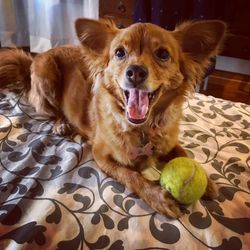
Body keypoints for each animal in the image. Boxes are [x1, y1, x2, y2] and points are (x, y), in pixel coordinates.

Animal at [0, 18, 227, 218]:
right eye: (119, 53)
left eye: (163, 54)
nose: (135, 72)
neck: (142, 129)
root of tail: (37, 56)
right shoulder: (100, 155)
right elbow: (131, 175)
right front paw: (158, 198)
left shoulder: (169, 142)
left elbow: (185, 154)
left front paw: (207, 182)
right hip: (45, 74)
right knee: (51, 111)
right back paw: (61, 123)